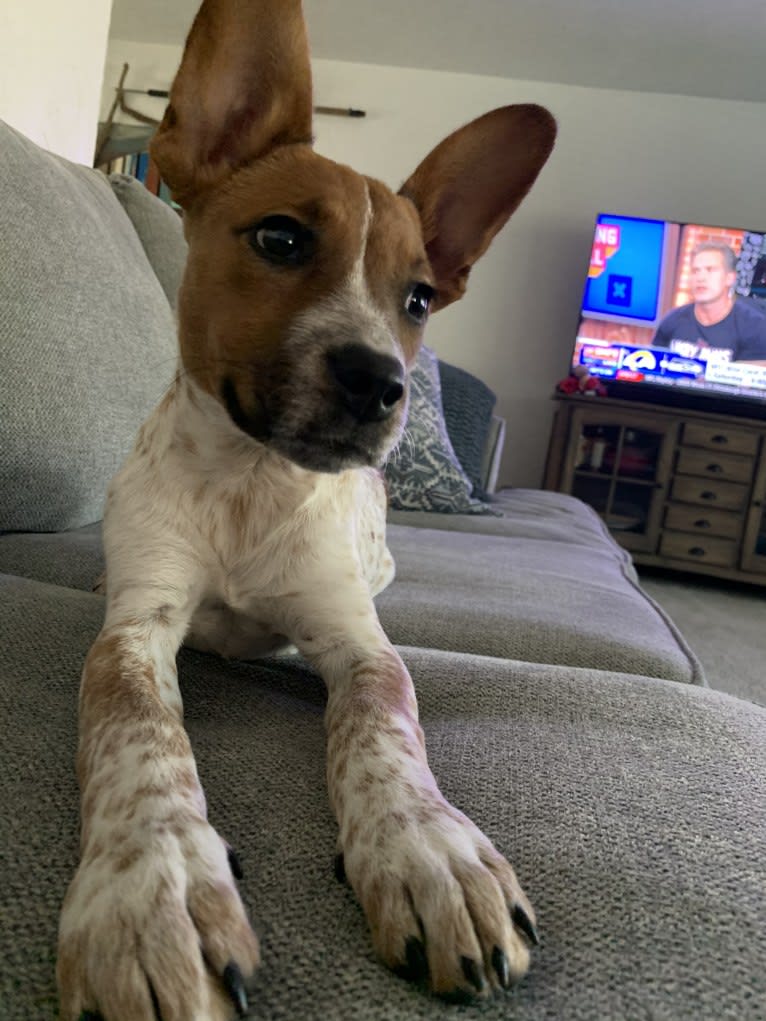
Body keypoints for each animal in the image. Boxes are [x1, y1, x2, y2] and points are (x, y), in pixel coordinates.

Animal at [56, 3, 555, 1016]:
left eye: (419, 297)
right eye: (281, 240)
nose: (382, 383)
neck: (250, 485)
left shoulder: (355, 641)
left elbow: (383, 723)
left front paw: (431, 851)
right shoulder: (136, 628)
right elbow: (136, 734)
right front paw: (150, 888)